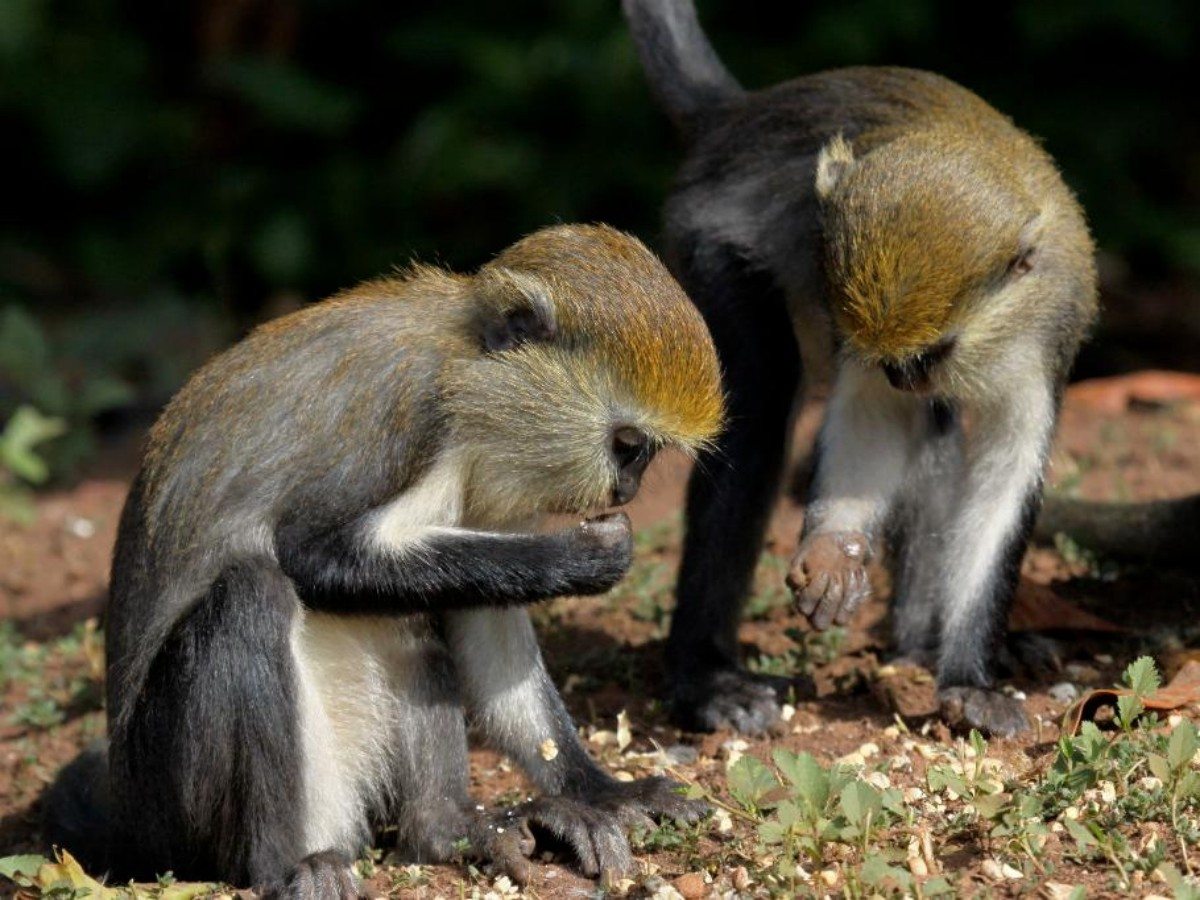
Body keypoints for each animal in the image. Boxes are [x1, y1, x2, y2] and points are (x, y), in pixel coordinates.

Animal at [42, 224, 721, 896]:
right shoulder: (412, 422)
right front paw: (580, 557)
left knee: (411, 618)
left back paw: (448, 830)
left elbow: (485, 625)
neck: (469, 366)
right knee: (252, 595)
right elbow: (311, 555)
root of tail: (129, 826)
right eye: (628, 447)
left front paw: (602, 791)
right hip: (173, 806)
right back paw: (282, 867)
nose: (627, 490)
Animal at [623, 0, 1098, 737]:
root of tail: (748, 110)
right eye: (895, 360)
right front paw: (835, 545)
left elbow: (1003, 477)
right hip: (707, 240)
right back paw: (706, 681)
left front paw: (968, 678)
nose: (905, 377)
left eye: (932, 353)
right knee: (762, 406)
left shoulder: (1046, 335)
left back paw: (919, 647)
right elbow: (871, 417)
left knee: (933, 431)